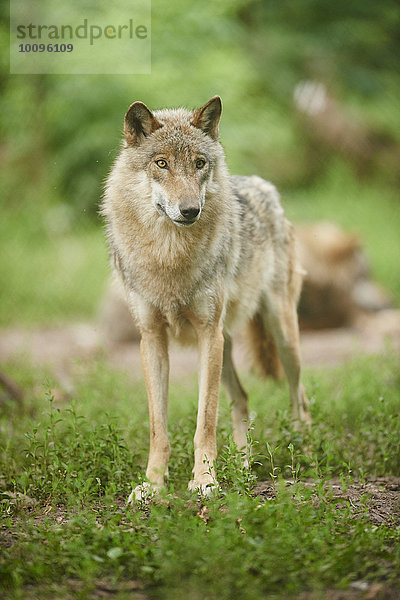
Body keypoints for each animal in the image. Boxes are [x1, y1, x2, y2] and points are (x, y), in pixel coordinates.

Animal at [101, 96, 310, 500]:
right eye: (161, 163)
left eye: (199, 163)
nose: (190, 211)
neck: (168, 256)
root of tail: (262, 184)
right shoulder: (152, 339)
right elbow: (159, 428)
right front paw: (153, 485)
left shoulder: (207, 335)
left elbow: (205, 421)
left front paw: (204, 481)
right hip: (226, 346)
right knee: (242, 398)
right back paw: (242, 468)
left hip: (280, 337)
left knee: (300, 395)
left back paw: (305, 452)